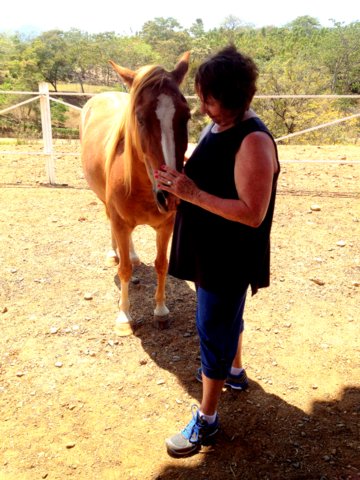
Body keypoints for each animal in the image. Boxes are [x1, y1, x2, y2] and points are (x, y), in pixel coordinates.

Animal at [79, 52, 191, 336]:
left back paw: (131, 253)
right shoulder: (120, 222)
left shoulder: (165, 225)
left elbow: (162, 264)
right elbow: (125, 271)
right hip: (106, 206)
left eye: (186, 116)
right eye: (139, 118)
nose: (170, 195)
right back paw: (114, 254)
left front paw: (161, 311)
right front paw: (124, 317)